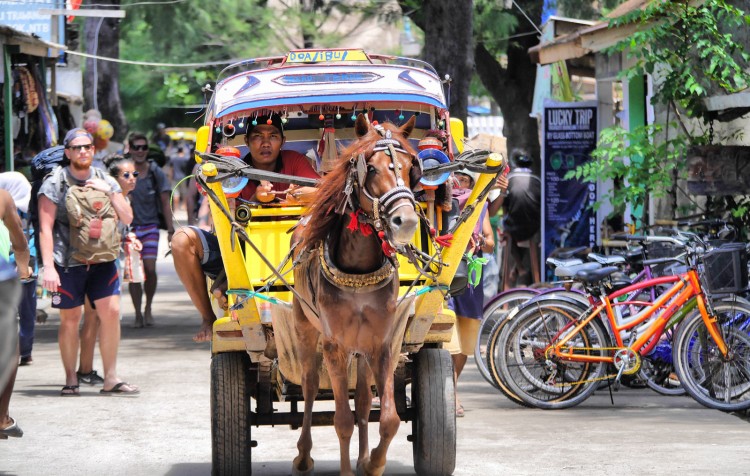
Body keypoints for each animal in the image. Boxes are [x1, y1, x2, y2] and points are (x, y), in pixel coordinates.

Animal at [290, 113, 424, 474]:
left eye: (411, 166)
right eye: (371, 168)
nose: (406, 220)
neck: (359, 271)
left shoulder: (382, 343)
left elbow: (388, 419)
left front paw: (373, 463)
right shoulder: (334, 346)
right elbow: (342, 421)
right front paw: (348, 469)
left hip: (361, 348)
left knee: (363, 400)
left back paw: (363, 456)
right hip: (305, 326)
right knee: (309, 385)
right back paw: (303, 455)